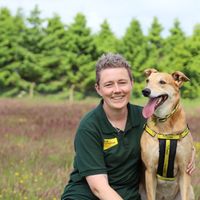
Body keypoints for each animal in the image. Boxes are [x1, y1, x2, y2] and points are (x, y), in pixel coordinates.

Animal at [140, 69, 195, 200]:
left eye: (162, 82)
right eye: (147, 80)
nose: (145, 91)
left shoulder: (184, 169)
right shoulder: (150, 170)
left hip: (190, 191)